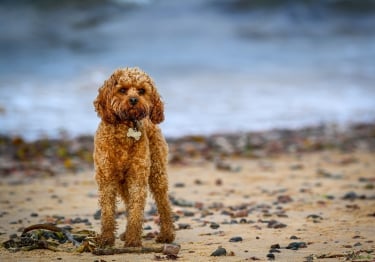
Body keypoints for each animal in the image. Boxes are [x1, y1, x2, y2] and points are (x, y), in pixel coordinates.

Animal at [94, 66, 176, 247]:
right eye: (122, 90)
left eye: (142, 90)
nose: (133, 100)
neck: (125, 129)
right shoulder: (106, 177)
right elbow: (108, 212)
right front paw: (106, 239)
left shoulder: (138, 177)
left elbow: (136, 210)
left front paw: (133, 240)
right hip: (123, 182)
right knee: (128, 202)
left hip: (157, 172)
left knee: (164, 204)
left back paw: (167, 234)